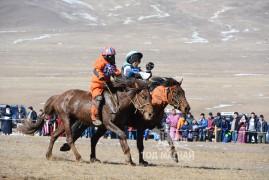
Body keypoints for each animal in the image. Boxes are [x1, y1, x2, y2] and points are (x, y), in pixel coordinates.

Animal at [18, 79, 153, 165]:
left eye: (151, 97)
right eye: (143, 97)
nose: (150, 114)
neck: (118, 102)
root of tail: (58, 97)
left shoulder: (111, 126)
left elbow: (115, 138)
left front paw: (129, 159)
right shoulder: (109, 125)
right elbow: (122, 135)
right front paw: (128, 159)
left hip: (70, 120)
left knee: (54, 135)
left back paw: (49, 155)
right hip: (66, 119)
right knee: (69, 138)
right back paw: (79, 158)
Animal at [59, 76, 189, 165]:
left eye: (183, 92)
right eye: (176, 92)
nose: (187, 108)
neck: (155, 105)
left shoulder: (155, 125)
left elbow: (169, 137)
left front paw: (175, 156)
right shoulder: (141, 128)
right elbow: (140, 145)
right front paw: (141, 162)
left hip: (103, 127)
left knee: (93, 138)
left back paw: (92, 157)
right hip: (91, 123)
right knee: (80, 133)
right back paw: (67, 148)